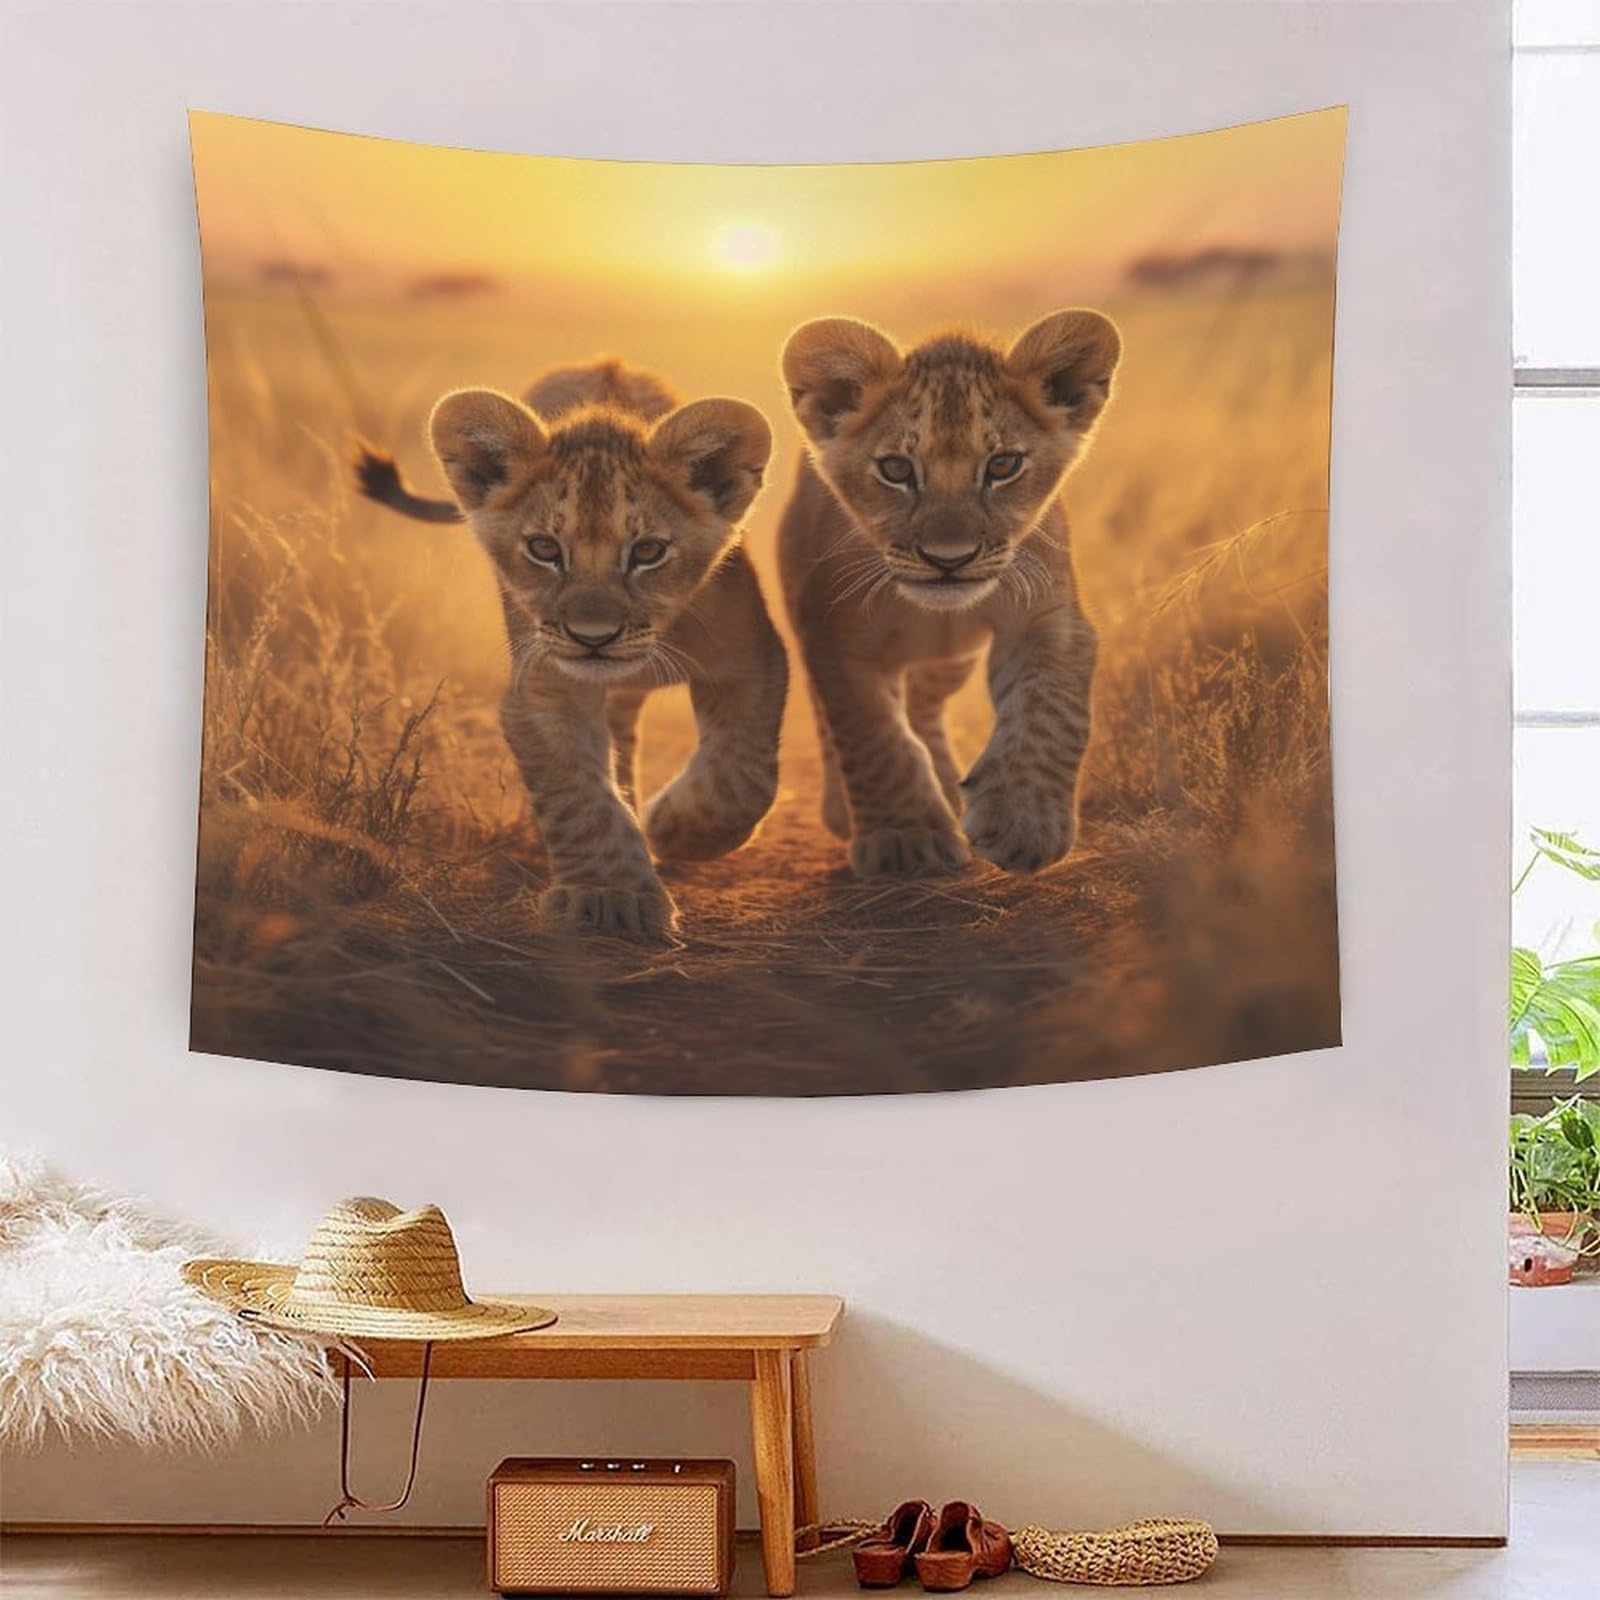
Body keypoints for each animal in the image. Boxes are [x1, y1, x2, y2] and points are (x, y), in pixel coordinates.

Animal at [357, 361, 787, 938]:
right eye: (544, 549)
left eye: (648, 551)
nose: (592, 637)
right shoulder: (544, 687)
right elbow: (578, 798)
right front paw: (611, 895)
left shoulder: (751, 658)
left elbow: (743, 776)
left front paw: (676, 828)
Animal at [777, 310, 1120, 879]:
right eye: (896, 469)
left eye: (1002, 465)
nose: (949, 559)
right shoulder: (833, 633)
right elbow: (871, 735)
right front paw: (905, 839)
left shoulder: (1049, 616)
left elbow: (1053, 709)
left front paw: (1026, 823)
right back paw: (845, 808)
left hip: (951, 658)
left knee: (924, 705)